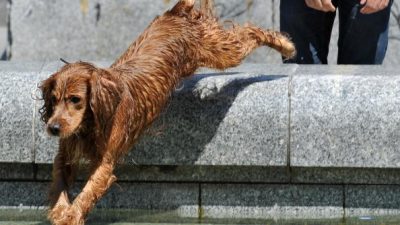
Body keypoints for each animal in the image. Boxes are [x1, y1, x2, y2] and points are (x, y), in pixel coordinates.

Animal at [40, 0, 296, 224]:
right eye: (53, 99)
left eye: (75, 99)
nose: (53, 128)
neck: (90, 124)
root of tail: (175, 12)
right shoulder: (65, 155)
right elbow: (59, 184)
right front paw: (60, 211)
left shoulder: (105, 163)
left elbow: (88, 191)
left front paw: (70, 216)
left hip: (221, 51)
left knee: (250, 32)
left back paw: (286, 45)